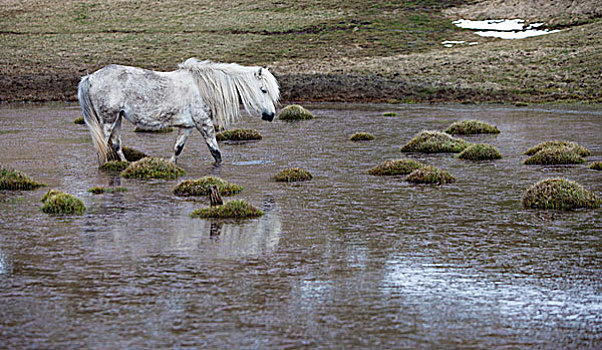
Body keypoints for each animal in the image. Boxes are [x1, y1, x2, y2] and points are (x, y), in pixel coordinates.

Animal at [77, 58, 278, 165]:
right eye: (263, 90)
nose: (270, 115)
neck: (202, 87)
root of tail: (91, 77)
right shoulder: (204, 124)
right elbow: (216, 152)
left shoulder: (187, 126)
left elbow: (177, 149)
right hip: (108, 120)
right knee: (103, 146)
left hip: (117, 118)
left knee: (116, 145)